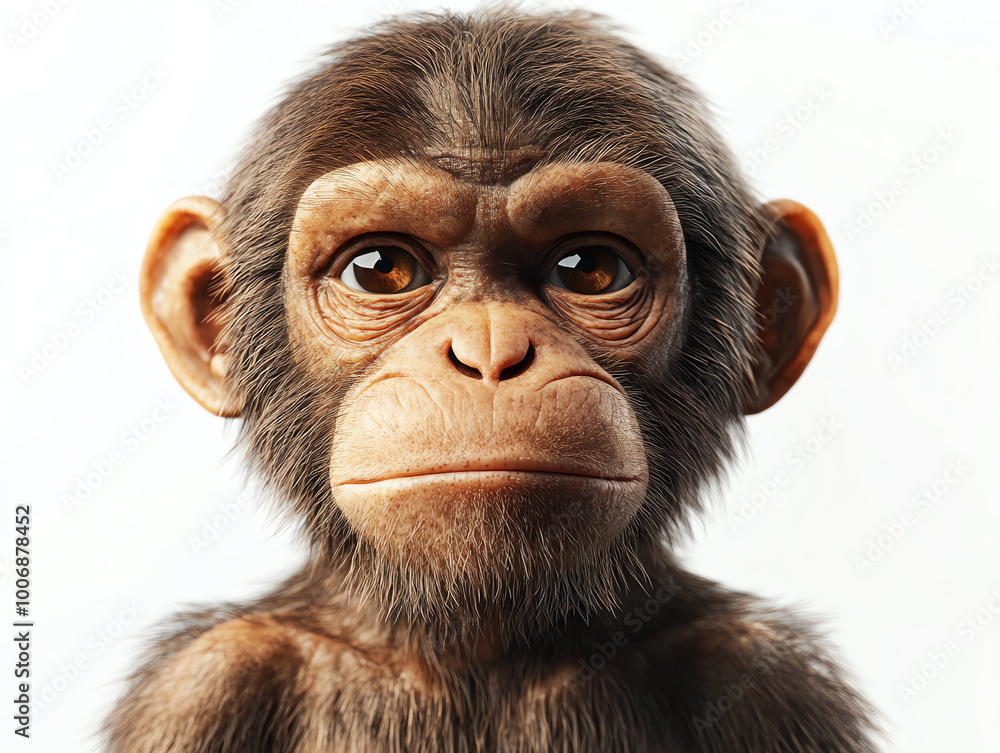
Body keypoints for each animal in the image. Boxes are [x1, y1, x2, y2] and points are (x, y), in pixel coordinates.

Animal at [104, 8, 878, 753]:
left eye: (591, 269)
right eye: (380, 269)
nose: (489, 350)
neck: (482, 653)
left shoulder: (771, 679)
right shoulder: (200, 687)